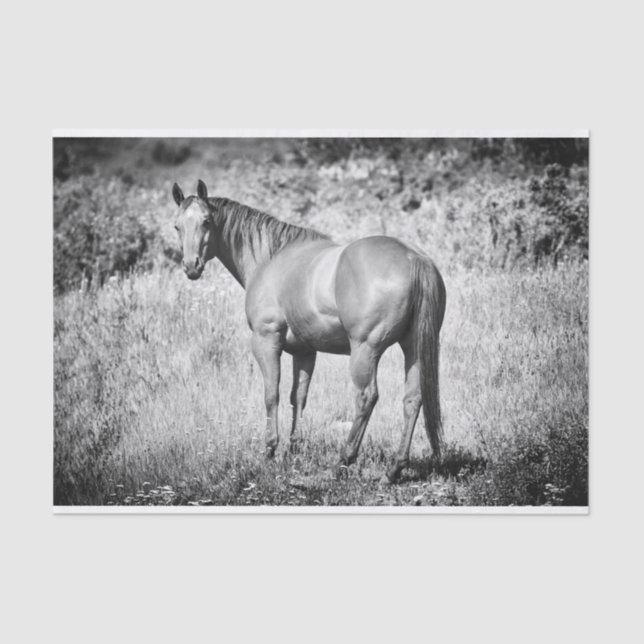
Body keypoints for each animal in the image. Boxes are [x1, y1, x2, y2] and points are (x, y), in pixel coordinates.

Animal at [172, 180, 446, 482]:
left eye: (206, 221)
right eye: (177, 226)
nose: (191, 266)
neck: (270, 260)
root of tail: (413, 257)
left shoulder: (266, 341)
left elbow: (272, 394)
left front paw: (270, 451)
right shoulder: (304, 351)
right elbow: (298, 396)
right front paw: (294, 449)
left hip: (365, 350)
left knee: (366, 397)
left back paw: (344, 460)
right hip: (413, 347)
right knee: (412, 399)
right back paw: (394, 469)